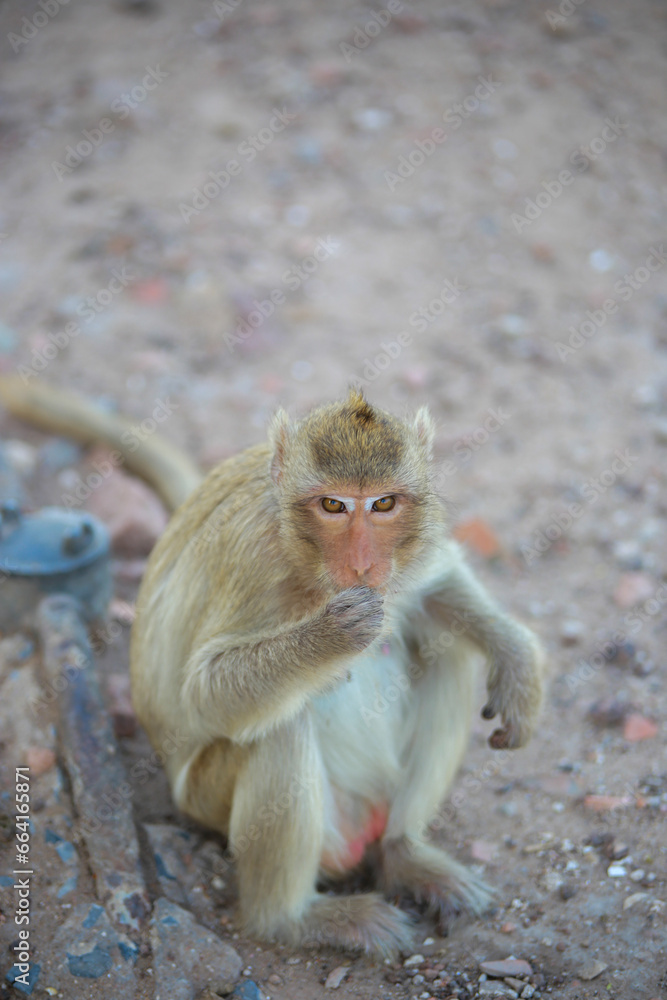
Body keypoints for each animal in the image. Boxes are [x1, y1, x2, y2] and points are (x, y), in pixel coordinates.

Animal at [129, 388, 544, 952]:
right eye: (333, 505)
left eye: (383, 503)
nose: (363, 564)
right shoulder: (255, 559)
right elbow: (202, 692)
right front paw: (332, 636)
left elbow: (437, 583)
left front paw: (517, 661)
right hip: (207, 800)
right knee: (280, 728)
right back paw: (291, 919)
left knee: (448, 655)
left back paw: (404, 853)